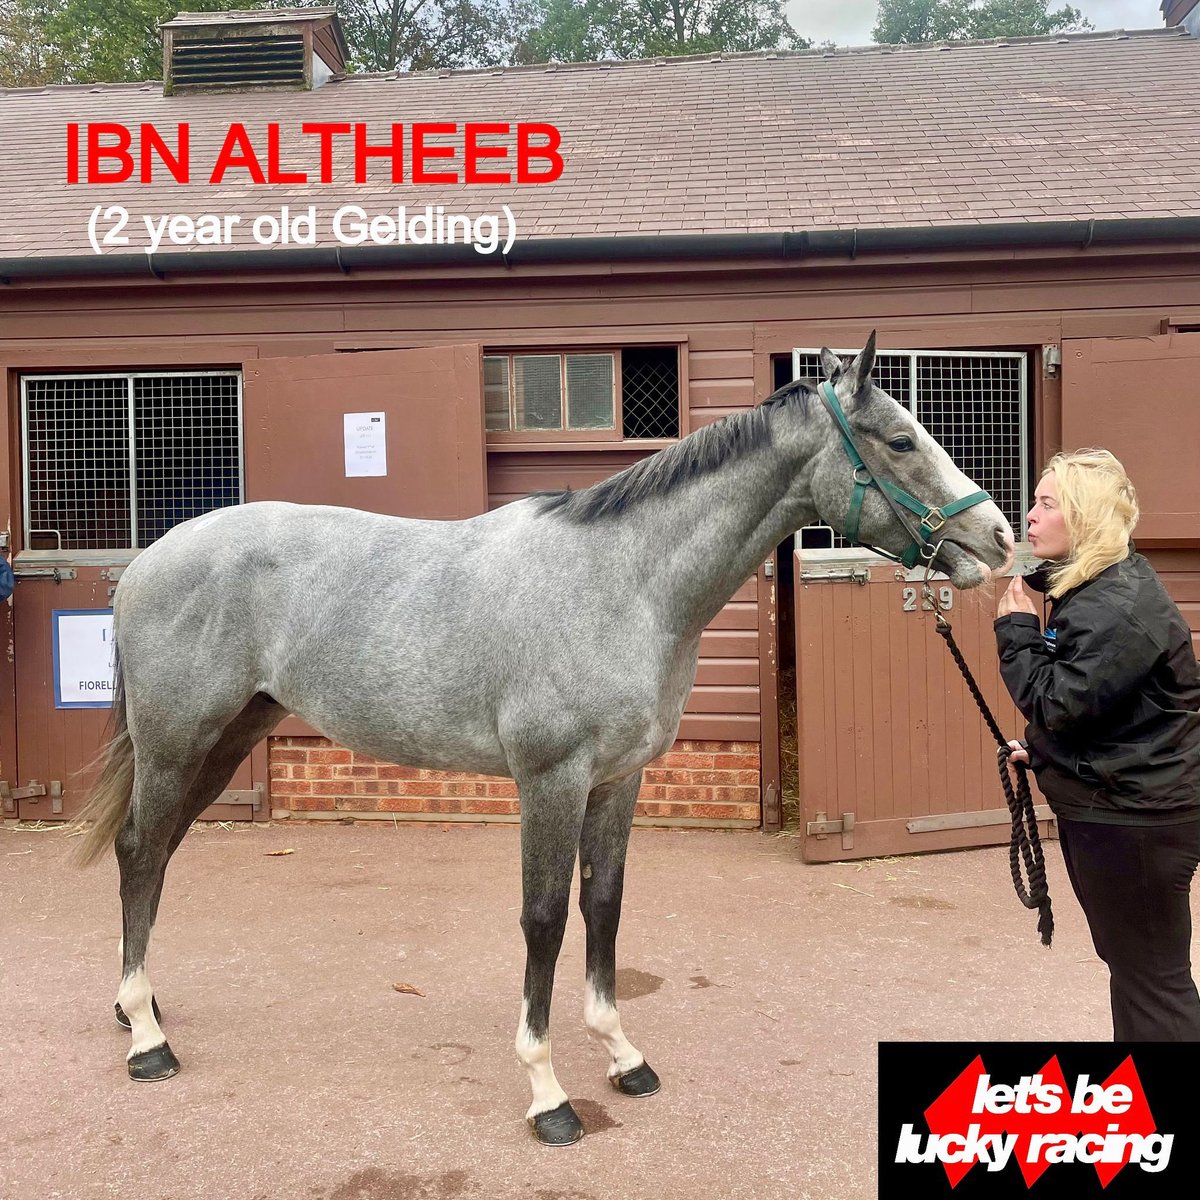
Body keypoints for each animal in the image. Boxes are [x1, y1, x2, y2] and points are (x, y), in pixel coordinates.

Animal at [72, 333, 1015, 1145]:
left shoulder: (619, 780)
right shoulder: (551, 779)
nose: (998, 538)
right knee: (139, 850)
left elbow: (605, 905)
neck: (622, 581)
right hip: (177, 740)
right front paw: (547, 1091)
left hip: (226, 737)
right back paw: (147, 1041)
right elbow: (546, 917)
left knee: (157, 853)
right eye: (901, 440)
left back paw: (135, 1005)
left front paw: (623, 1056)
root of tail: (150, 558)